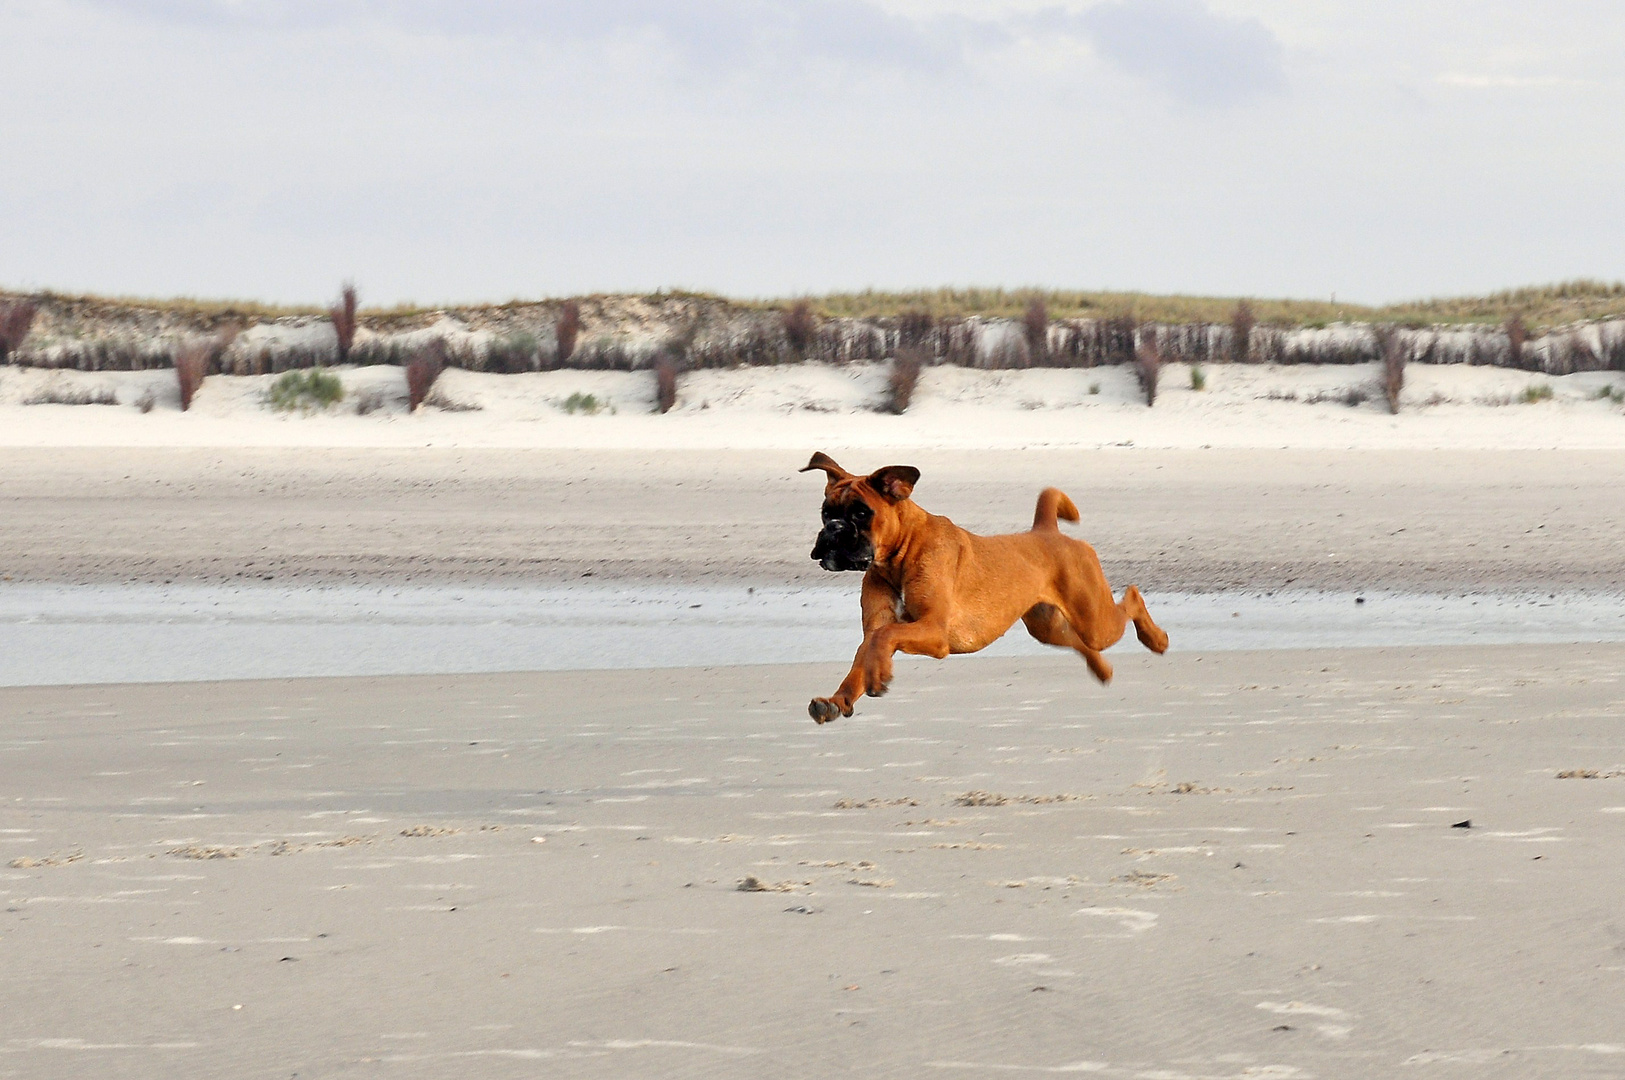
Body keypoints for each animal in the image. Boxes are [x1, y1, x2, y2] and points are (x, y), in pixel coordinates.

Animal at [802, 451, 1170, 721]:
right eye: (825, 512)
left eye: (861, 513)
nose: (833, 529)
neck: (900, 553)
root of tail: (1047, 531)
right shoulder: (876, 627)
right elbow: (865, 654)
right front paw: (838, 700)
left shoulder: (933, 631)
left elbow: (885, 638)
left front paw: (878, 674)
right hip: (1047, 626)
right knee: (1079, 642)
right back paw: (1102, 668)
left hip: (1094, 619)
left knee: (1132, 597)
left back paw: (1156, 638)